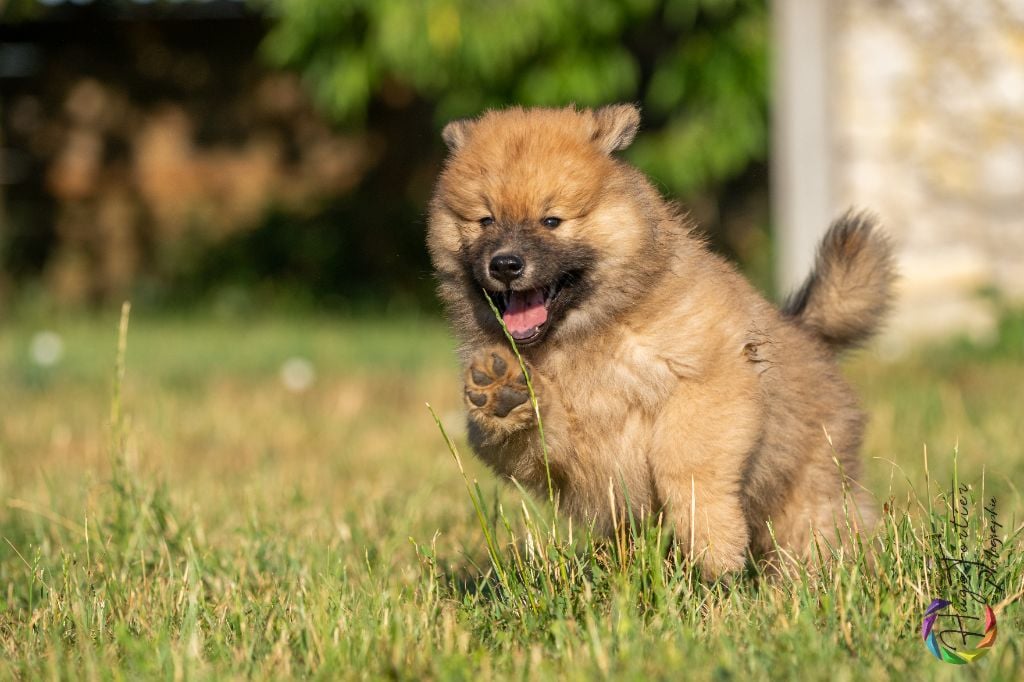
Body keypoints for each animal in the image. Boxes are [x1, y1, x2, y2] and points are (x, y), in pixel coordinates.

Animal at [423, 103, 888, 577]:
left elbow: (687, 465)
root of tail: (808, 333)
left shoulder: (710, 381)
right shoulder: (568, 451)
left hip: (810, 490)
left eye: (551, 220)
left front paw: (715, 548)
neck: (588, 332)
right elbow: (536, 431)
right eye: (486, 220)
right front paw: (503, 391)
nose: (505, 264)